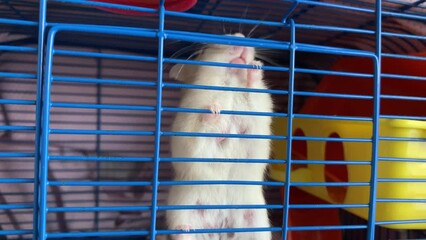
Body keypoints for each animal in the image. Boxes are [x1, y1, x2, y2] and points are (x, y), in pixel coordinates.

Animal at [166, 32, 272, 240]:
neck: (230, 84)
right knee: (181, 231)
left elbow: (253, 93)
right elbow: (201, 127)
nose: (240, 37)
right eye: (206, 49)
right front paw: (215, 109)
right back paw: (184, 230)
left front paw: (255, 66)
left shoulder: (259, 108)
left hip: (258, 224)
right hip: (179, 209)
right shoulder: (188, 124)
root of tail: (220, 231)